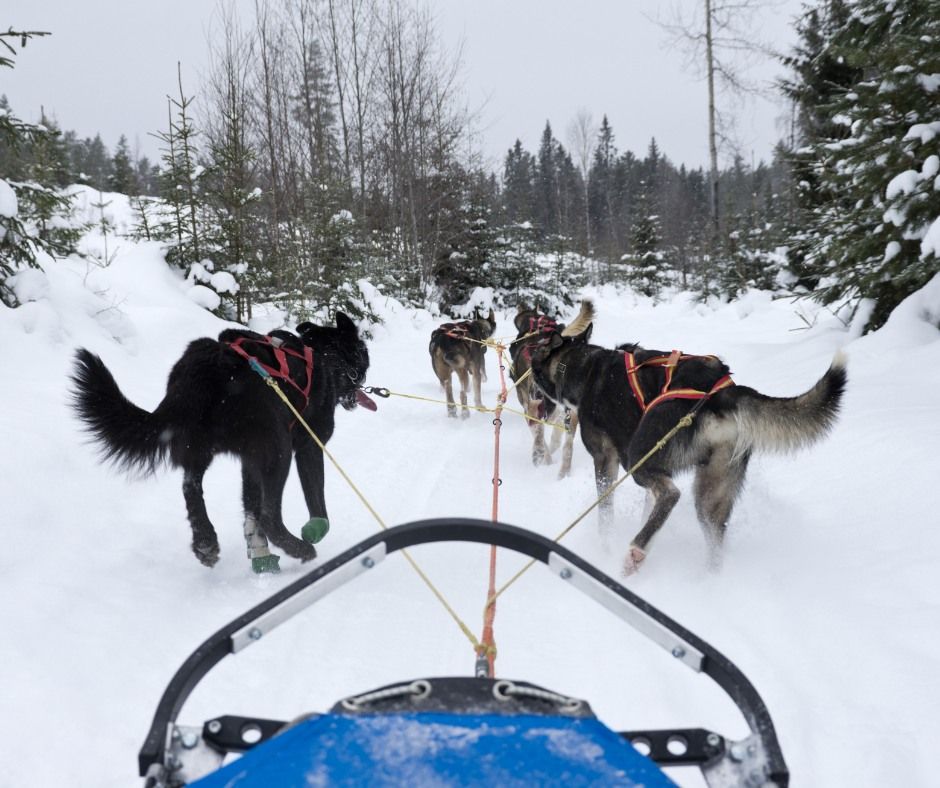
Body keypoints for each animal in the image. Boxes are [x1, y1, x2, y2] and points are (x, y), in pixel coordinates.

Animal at [70, 314, 370, 572]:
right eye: (363, 355)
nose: (364, 381)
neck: (325, 357)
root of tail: (203, 369)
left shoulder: (249, 460)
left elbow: (250, 507)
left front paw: (259, 553)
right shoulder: (310, 446)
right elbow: (317, 506)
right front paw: (312, 531)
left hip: (199, 447)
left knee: (191, 487)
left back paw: (205, 541)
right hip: (278, 449)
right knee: (269, 514)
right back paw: (299, 548)